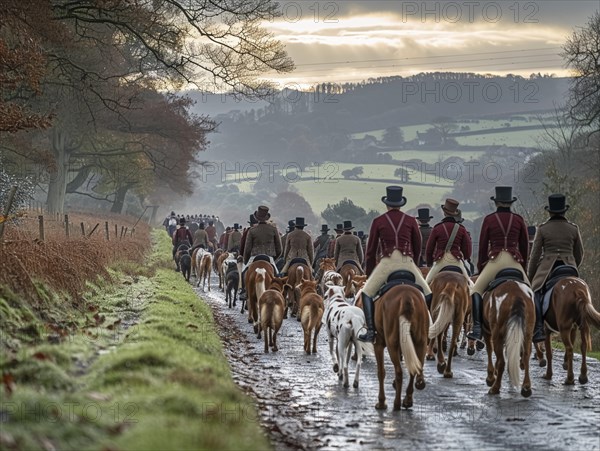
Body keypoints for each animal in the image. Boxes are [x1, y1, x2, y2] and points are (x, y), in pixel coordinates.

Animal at [372, 284, 428, 412]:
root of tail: (406, 295)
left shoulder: (378, 344)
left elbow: (381, 372)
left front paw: (381, 402)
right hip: (420, 342)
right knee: (414, 369)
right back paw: (408, 400)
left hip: (391, 343)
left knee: (399, 372)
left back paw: (396, 403)